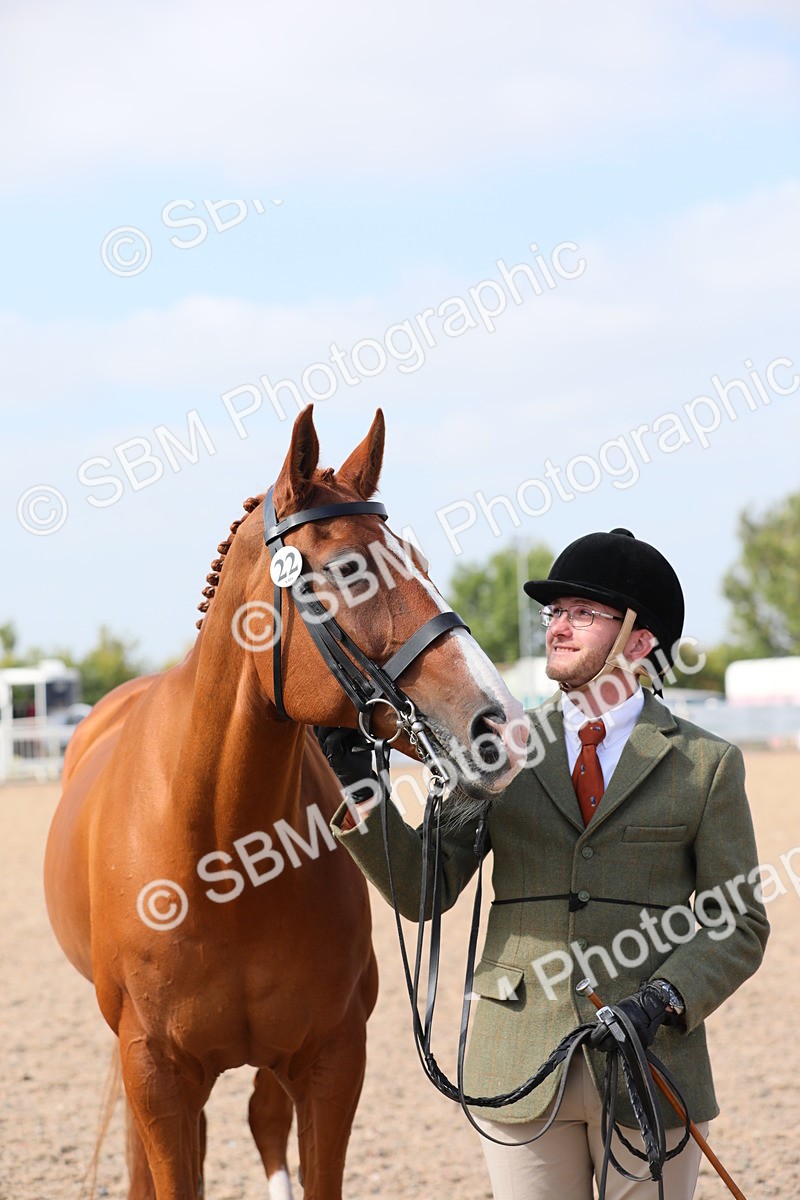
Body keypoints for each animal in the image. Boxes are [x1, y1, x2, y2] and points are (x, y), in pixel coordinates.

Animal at [44, 406, 527, 1200]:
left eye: (421, 564)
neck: (221, 852)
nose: (502, 726)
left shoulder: (330, 1063)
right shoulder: (156, 1074)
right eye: (349, 570)